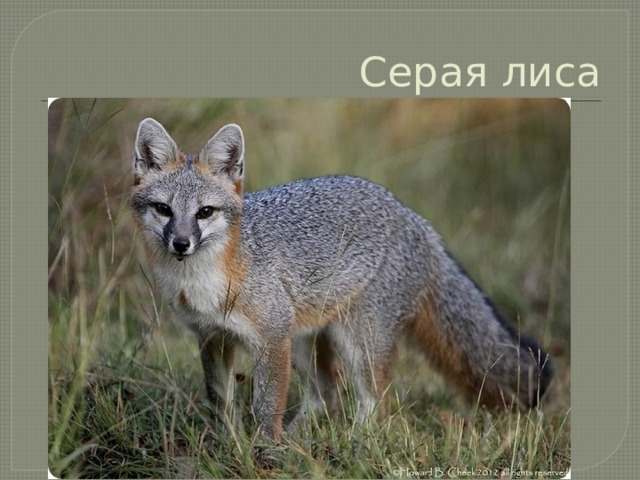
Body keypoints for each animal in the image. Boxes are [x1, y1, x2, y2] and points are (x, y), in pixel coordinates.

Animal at [129, 118, 552, 443]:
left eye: (204, 212)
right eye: (164, 209)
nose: (181, 243)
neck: (204, 283)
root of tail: (417, 221)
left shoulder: (272, 338)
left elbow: (266, 407)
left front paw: (262, 452)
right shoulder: (212, 338)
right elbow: (221, 402)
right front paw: (225, 445)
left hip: (356, 341)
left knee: (375, 401)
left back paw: (354, 443)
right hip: (305, 342)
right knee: (325, 398)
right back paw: (299, 441)